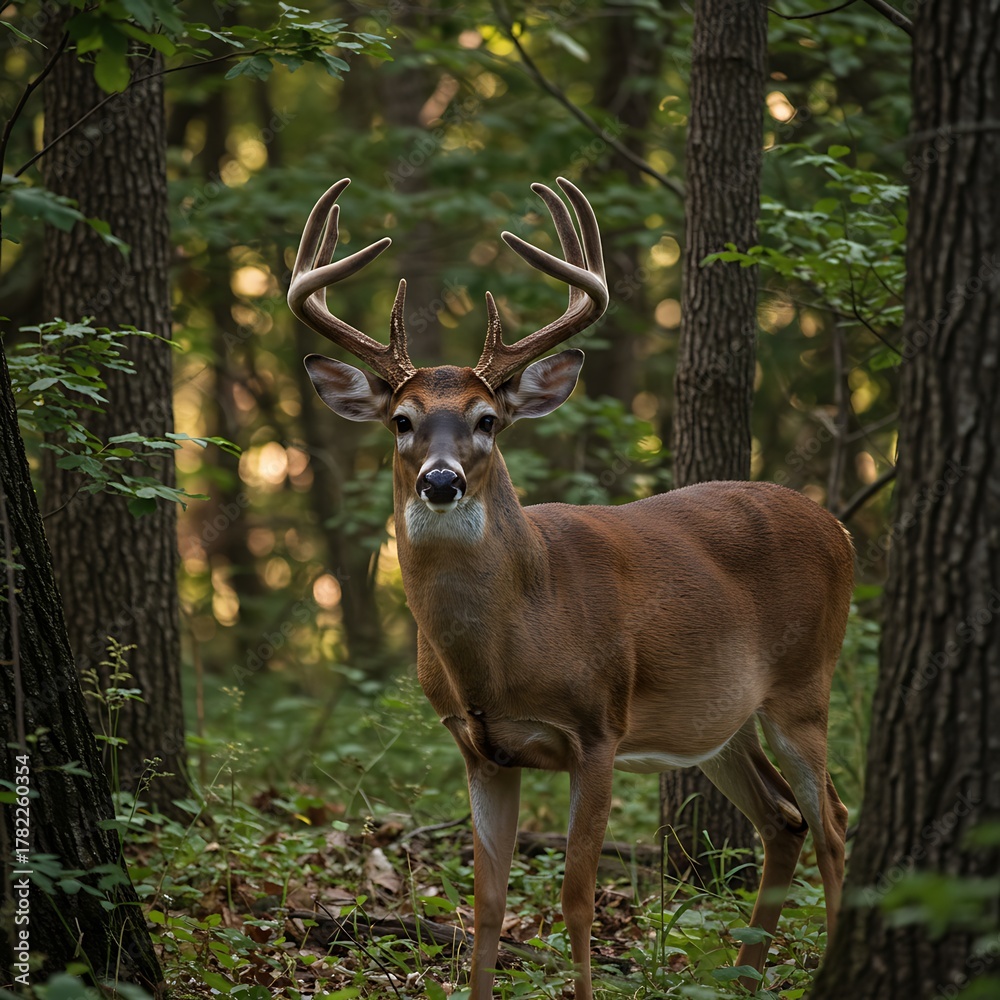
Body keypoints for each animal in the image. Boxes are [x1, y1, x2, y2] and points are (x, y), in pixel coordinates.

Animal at [287, 177, 854, 999]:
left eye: (487, 420)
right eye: (402, 420)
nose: (440, 481)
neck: (508, 643)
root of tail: (839, 527)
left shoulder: (598, 729)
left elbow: (577, 898)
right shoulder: (480, 749)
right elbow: (488, 904)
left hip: (805, 686)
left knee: (835, 820)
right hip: (719, 720)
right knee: (784, 819)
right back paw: (745, 978)